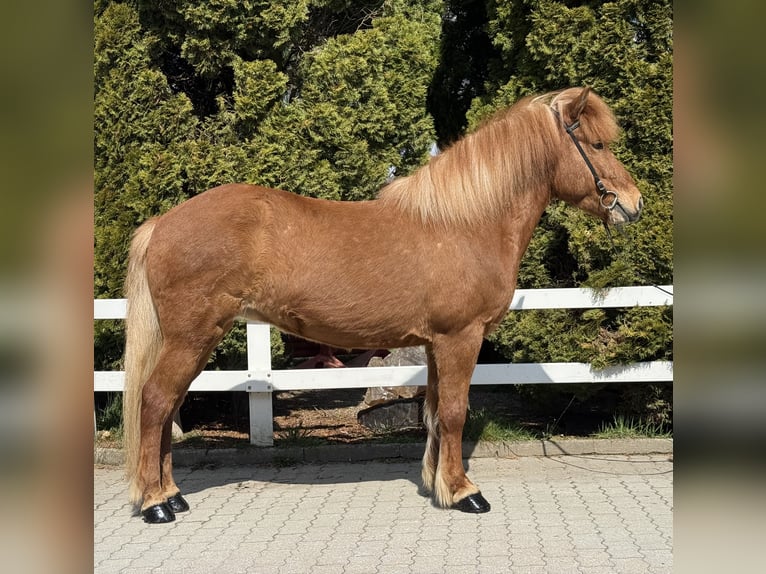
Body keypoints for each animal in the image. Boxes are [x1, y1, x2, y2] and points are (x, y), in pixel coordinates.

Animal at [122, 87, 643, 523]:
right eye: (597, 145)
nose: (633, 204)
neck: (465, 222)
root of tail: (162, 224)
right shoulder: (461, 339)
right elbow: (455, 412)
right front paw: (464, 492)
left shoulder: (435, 345)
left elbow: (434, 412)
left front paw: (437, 484)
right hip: (193, 337)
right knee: (155, 402)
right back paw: (156, 504)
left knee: (166, 409)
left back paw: (172, 495)